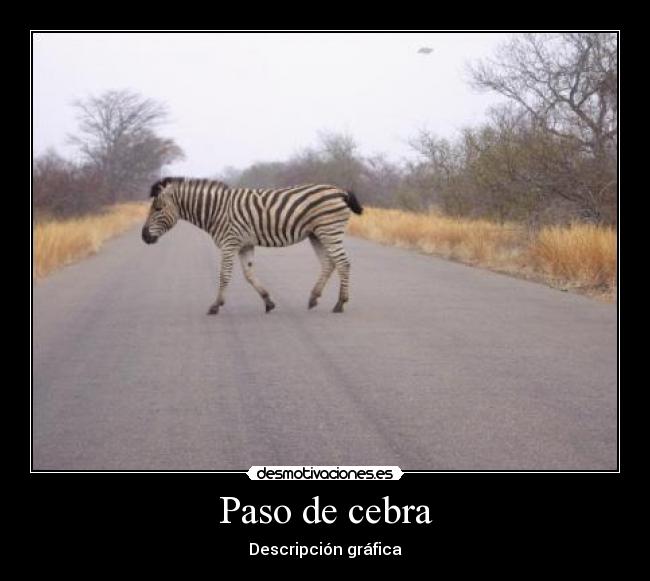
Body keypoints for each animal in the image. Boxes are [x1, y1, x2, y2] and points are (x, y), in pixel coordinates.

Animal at [141, 177, 363, 314]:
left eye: (158, 208)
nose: (144, 237)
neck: (216, 211)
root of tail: (339, 190)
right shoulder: (244, 245)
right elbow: (249, 275)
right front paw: (268, 302)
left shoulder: (229, 243)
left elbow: (224, 275)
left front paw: (215, 306)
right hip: (316, 234)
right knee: (329, 263)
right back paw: (314, 298)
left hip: (329, 230)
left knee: (343, 263)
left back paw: (340, 303)